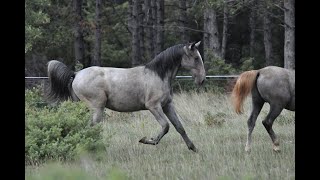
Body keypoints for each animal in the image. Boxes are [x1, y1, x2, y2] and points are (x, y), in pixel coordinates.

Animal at [45, 41, 205, 152]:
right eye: (196, 58)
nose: (202, 80)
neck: (158, 75)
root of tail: (76, 74)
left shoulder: (167, 105)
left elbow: (179, 127)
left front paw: (193, 148)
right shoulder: (153, 106)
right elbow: (165, 126)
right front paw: (147, 140)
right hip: (97, 108)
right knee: (92, 127)